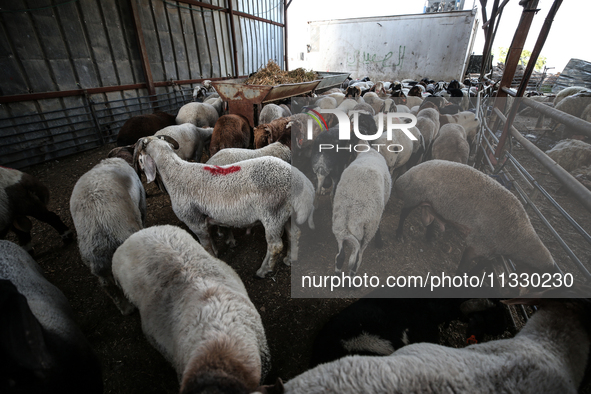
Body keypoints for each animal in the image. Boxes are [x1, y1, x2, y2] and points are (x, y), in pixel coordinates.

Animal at [134, 137, 316, 278]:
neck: (175, 174)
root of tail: (303, 182)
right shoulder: (205, 218)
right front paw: (218, 251)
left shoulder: (194, 221)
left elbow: (205, 245)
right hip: (286, 213)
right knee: (294, 233)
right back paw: (290, 259)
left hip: (273, 214)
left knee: (275, 246)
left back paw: (263, 271)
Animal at [332, 149, 394, 278]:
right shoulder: (378, 213)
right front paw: (379, 241)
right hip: (368, 228)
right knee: (357, 258)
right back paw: (351, 277)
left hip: (339, 223)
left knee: (340, 256)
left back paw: (336, 278)